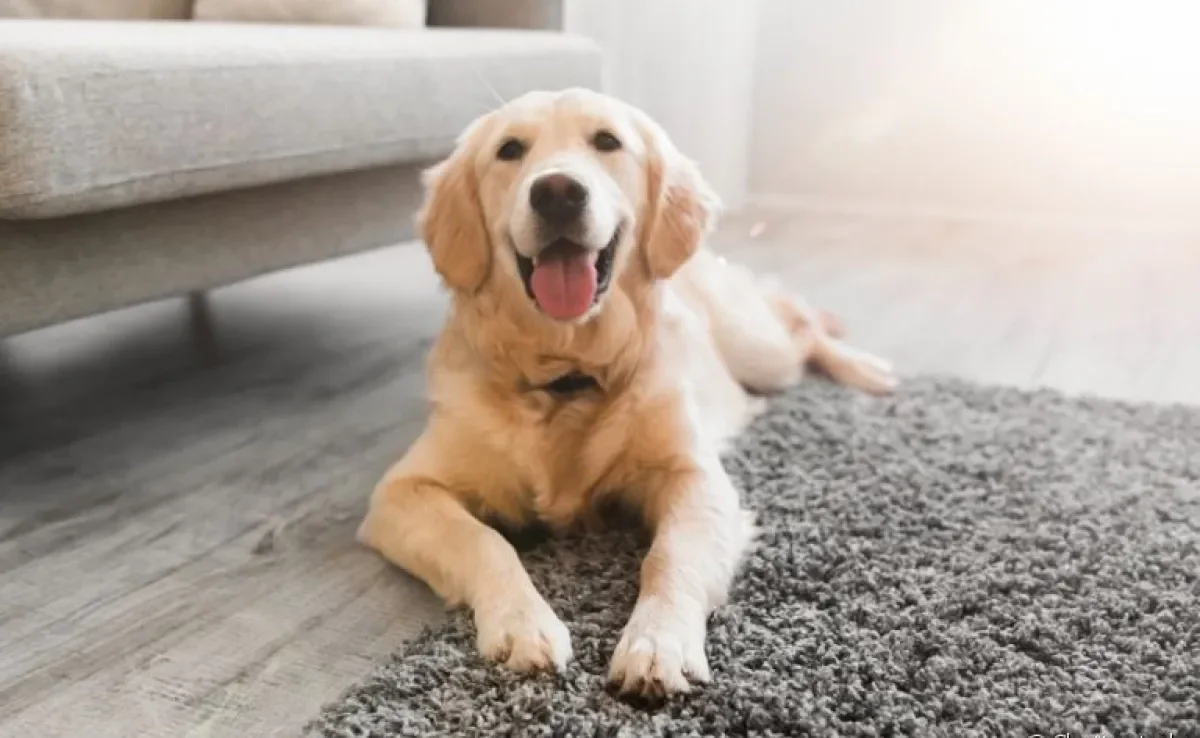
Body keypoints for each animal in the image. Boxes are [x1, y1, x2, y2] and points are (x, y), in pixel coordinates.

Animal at [360, 86, 897, 700]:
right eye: (510, 149)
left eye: (607, 141)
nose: (558, 192)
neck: (568, 374)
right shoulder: (403, 491)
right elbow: (484, 541)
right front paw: (523, 624)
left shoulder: (694, 477)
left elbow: (669, 556)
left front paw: (658, 643)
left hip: (762, 349)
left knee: (802, 324)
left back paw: (867, 367)